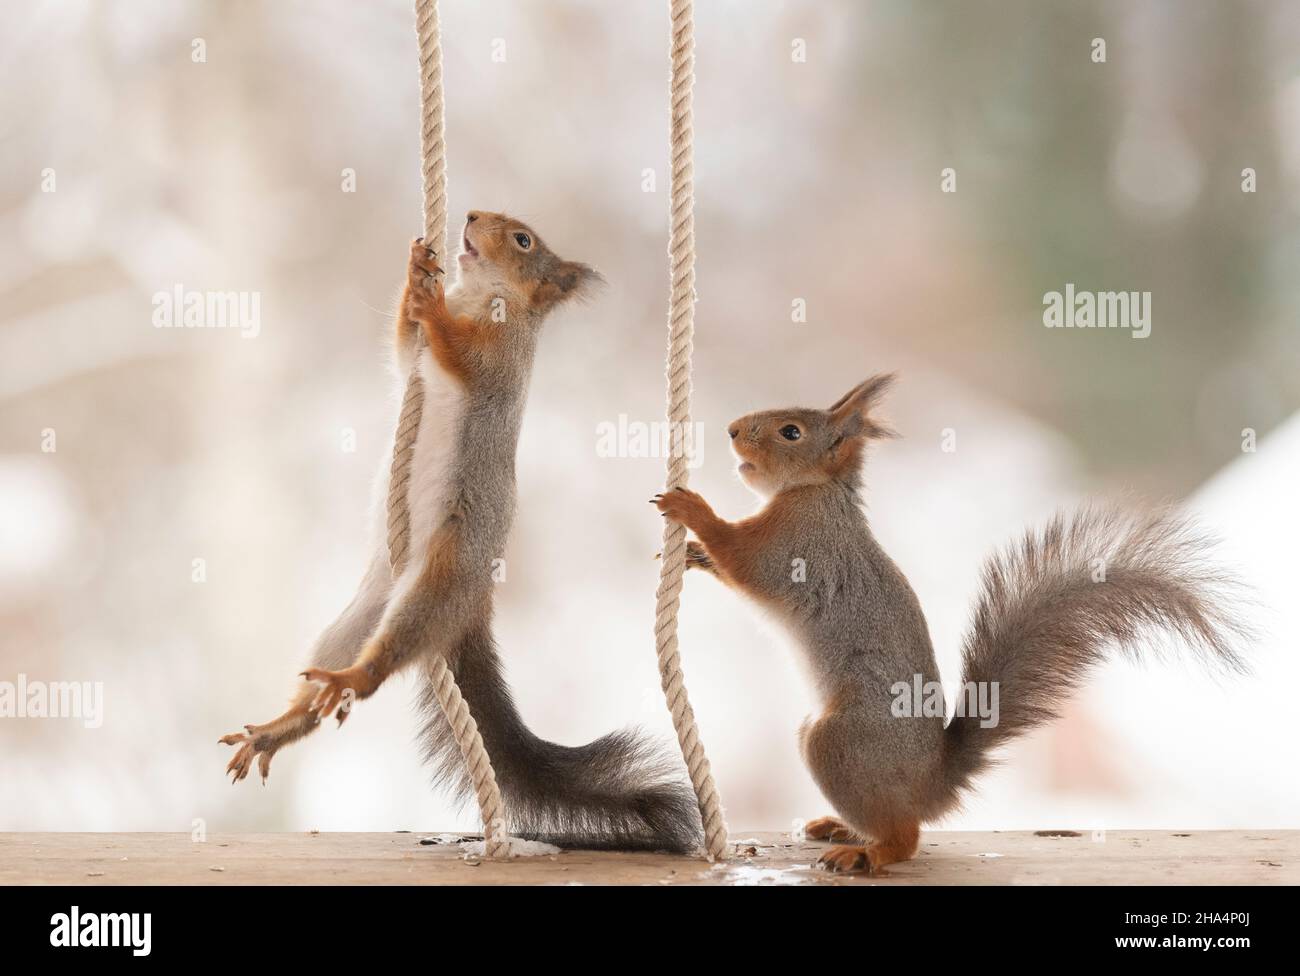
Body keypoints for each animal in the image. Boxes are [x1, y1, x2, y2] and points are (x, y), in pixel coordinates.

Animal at [221, 211, 701, 852]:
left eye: (523, 240)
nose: (472, 217)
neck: (478, 297)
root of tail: (474, 605)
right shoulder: (414, 363)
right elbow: (404, 349)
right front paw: (414, 273)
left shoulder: (497, 358)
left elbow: (458, 351)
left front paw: (430, 303)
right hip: (359, 614)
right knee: (334, 674)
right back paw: (280, 727)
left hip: (443, 575)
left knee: (389, 657)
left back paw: (353, 678)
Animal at [653, 372, 1246, 873]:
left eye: (791, 432)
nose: (732, 430)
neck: (817, 493)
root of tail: (932, 781)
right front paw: (693, 555)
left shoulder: (795, 545)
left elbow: (743, 559)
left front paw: (692, 511)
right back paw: (840, 827)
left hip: (838, 742)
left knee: (907, 836)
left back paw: (866, 853)